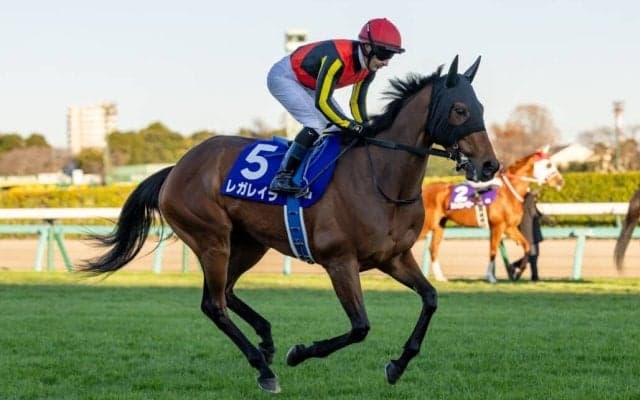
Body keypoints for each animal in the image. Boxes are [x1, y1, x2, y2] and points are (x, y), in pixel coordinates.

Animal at [80, 55, 499, 393]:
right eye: (459, 110)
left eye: (480, 106)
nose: (490, 165)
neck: (381, 177)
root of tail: (176, 169)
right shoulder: (339, 261)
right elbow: (360, 326)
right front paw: (300, 353)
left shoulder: (394, 257)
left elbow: (430, 299)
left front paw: (397, 365)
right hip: (212, 239)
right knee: (213, 304)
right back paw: (264, 368)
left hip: (249, 243)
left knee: (226, 293)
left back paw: (265, 340)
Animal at [420, 147, 564, 283]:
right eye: (548, 165)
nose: (560, 181)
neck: (508, 192)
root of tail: (423, 189)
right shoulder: (497, 226)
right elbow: (493, 251)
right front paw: (491, 277)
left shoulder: (509, 228)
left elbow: (527, 246)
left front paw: (517, 269)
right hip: (426, 224)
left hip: (439, 225)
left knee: (433, 248)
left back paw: (440, 277)